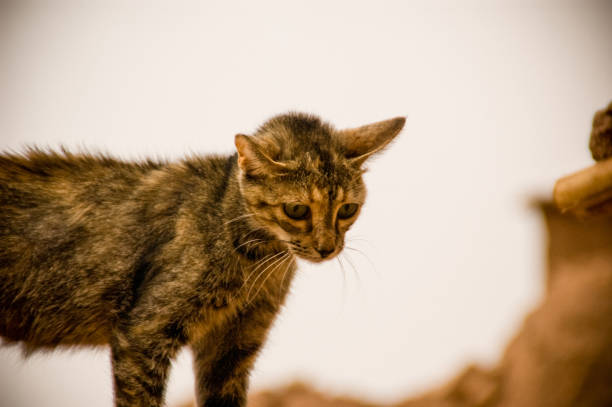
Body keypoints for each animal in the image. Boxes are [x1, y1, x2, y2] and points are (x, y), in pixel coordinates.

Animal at [1, 113, 406, 407]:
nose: (327, 248)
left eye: (348, 209)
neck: (257, 260)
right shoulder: (143, 335)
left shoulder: (231, 348)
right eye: (296, 210)